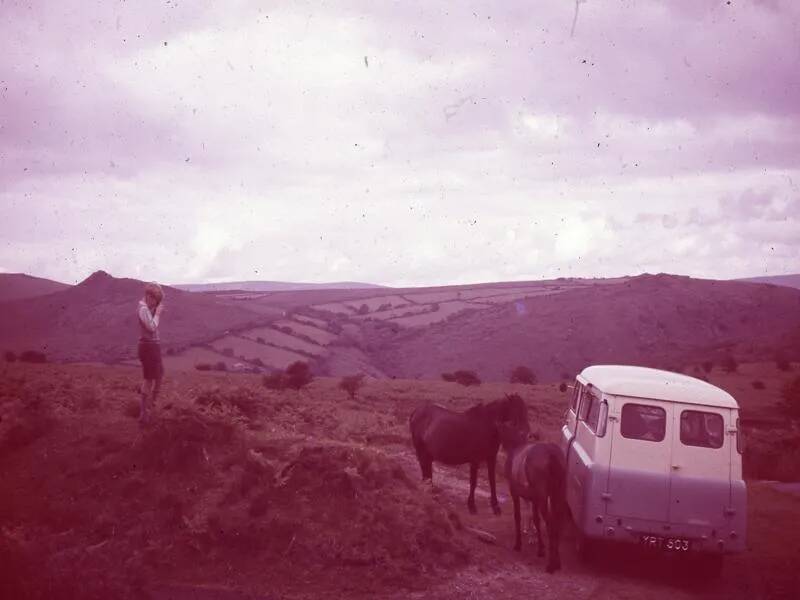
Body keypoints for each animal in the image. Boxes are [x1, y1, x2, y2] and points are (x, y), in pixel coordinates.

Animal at [500, 422, 568, 572]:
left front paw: (518, 544)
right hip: (558, 495)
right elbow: (535, 518)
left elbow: (518, 516)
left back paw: (551, 564)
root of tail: (551, 454)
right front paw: (540, 548)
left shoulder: (515, 492)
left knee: (550, 523)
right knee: (557, 522)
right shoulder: (534, 498)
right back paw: (558, 561)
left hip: (544, 497)